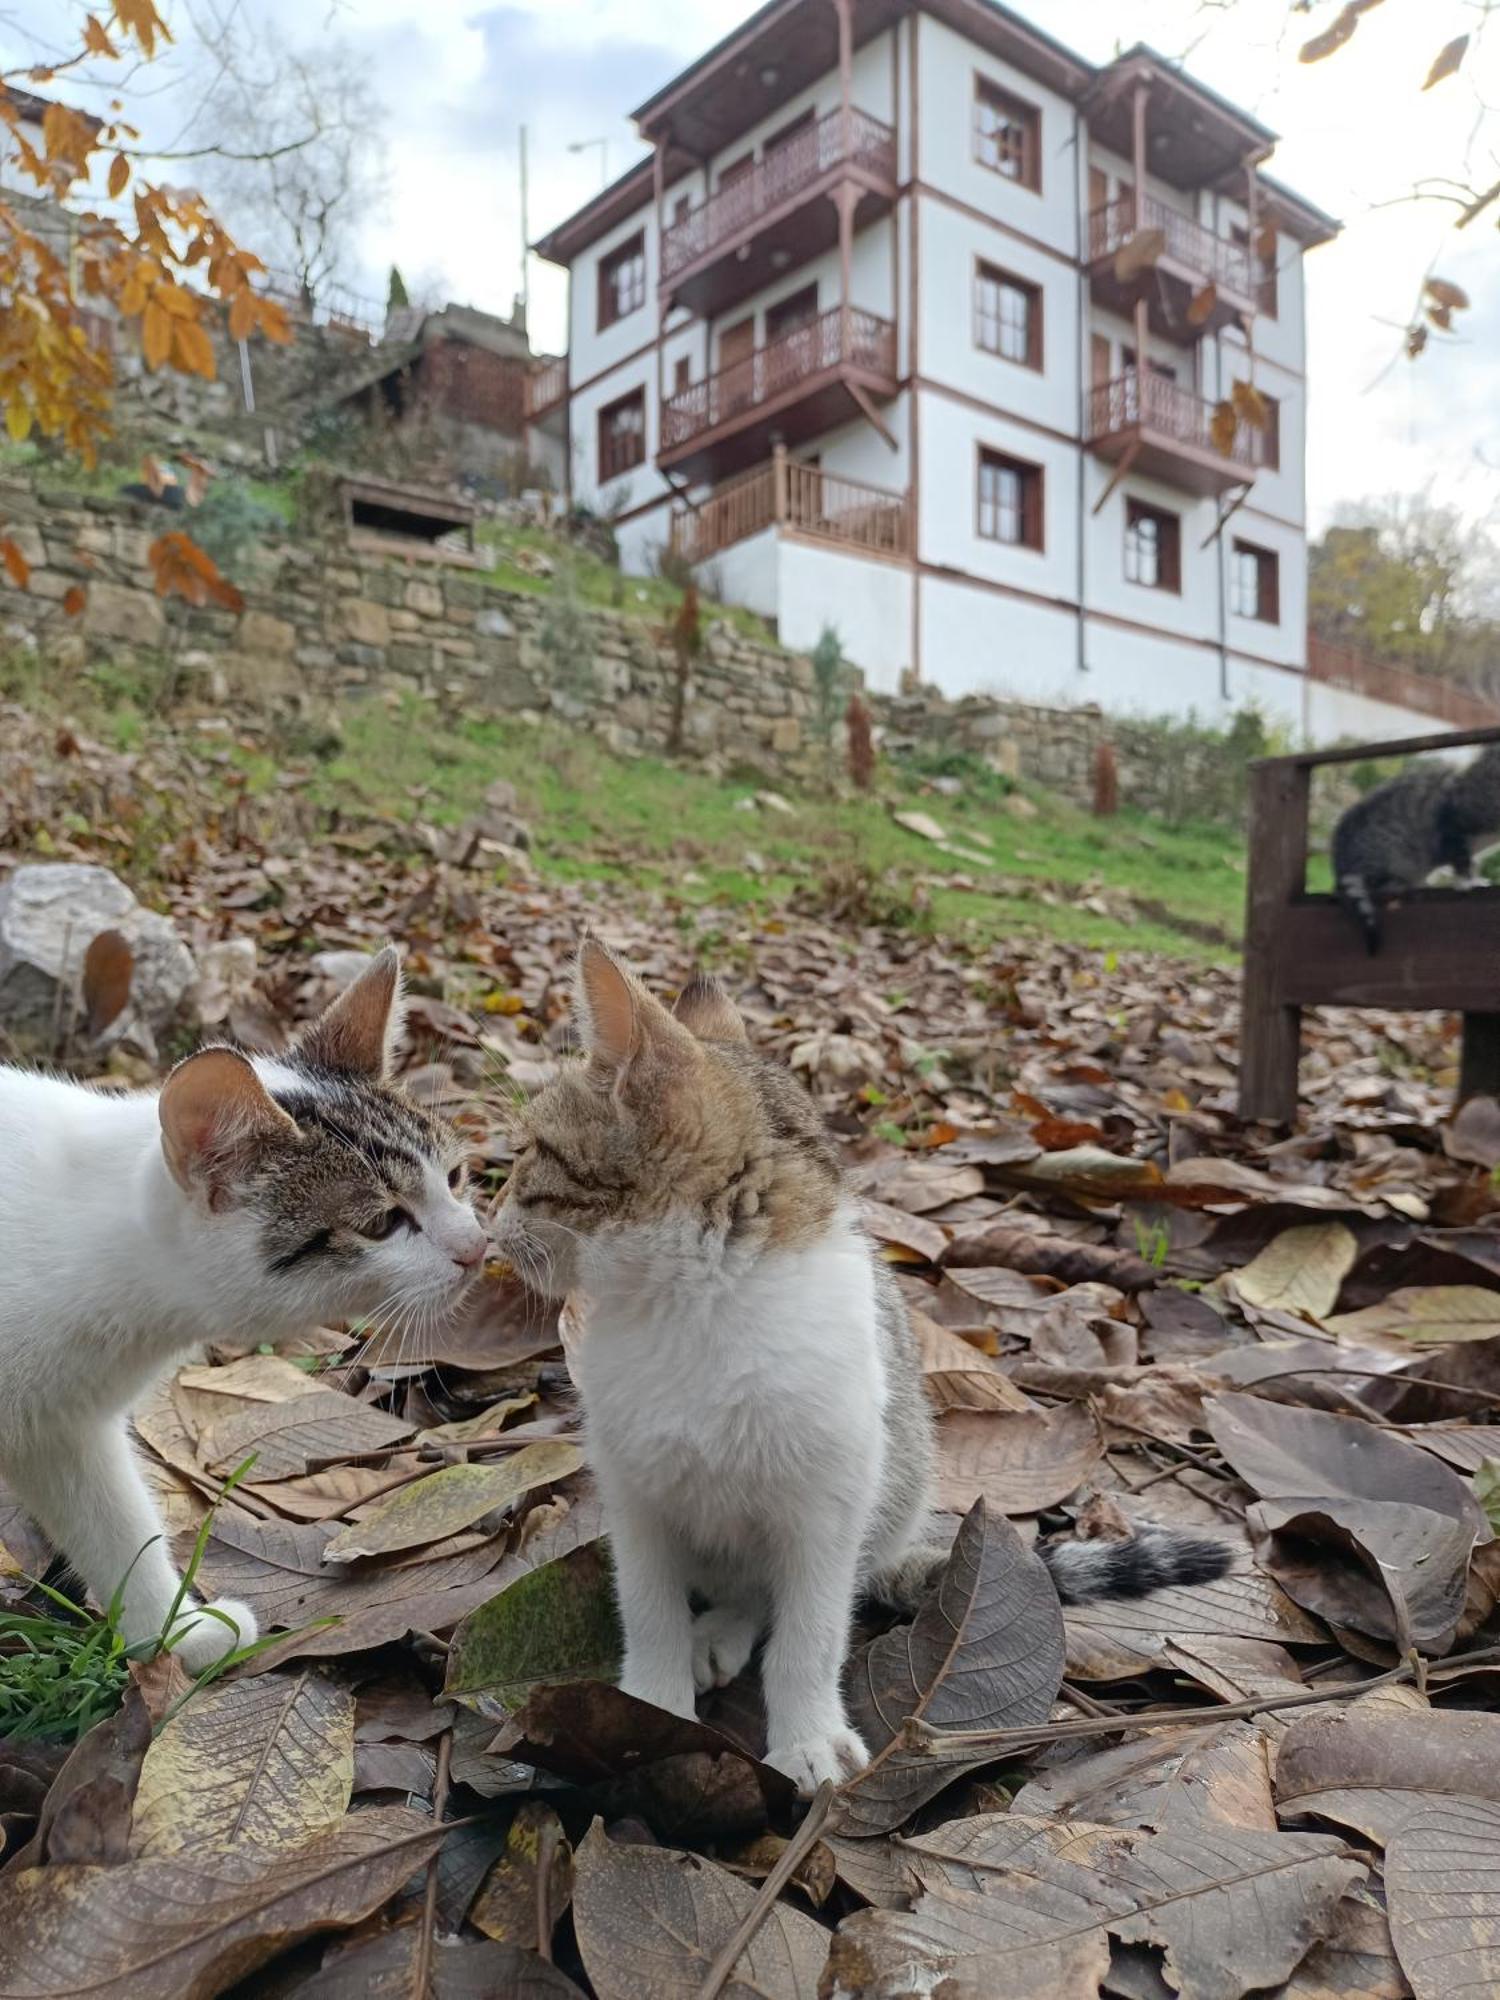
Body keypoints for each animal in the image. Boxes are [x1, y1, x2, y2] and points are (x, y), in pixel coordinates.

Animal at [0, 944, 484, 1664]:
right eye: (381, 1224)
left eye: (454, 1177)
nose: (478, 1247)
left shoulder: (60, 1424)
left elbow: (115, 1524)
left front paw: (173, 1633)